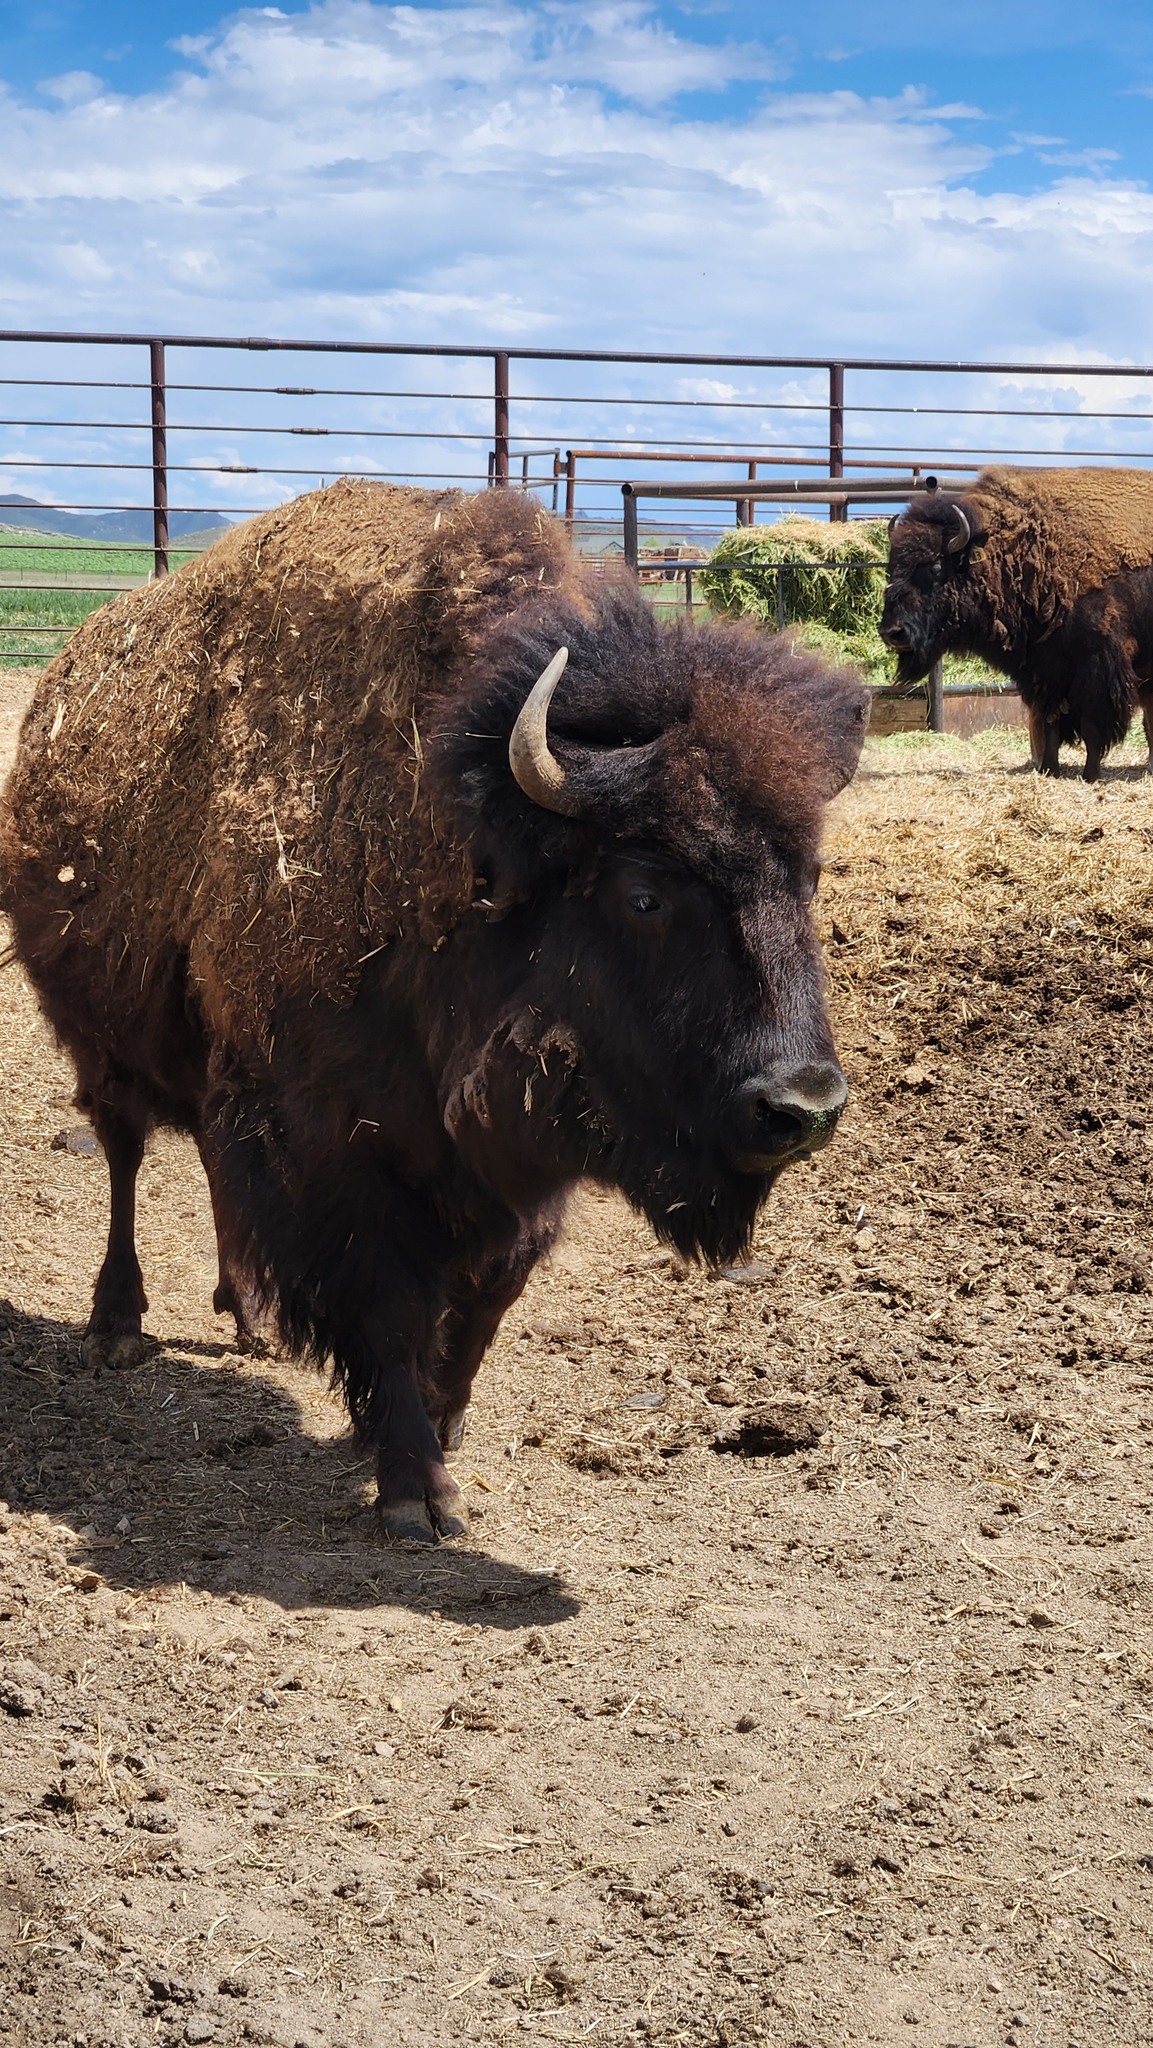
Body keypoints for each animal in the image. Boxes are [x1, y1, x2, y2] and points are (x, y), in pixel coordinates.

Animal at [1, 481, 865, 1542]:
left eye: (808, 876)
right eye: (644, 892)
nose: (803, 1108)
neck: (475, 870)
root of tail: (60, 693)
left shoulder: (515, 1169)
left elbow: (485, 1300)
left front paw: (443, 1431)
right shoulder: (340, 1152)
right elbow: (388, 1308)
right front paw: (417, 1491)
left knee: (203, 1157)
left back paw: (246, 1317)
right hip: (102, 1039)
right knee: (124, 1153)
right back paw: (118, 1326)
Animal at [880, 465, 1153, 779]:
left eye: (935, 567)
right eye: (892, 566)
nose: (893, 633)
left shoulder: (1098, 665)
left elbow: (1091, 727)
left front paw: (1090, 774)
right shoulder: (1045, 670)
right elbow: (1050, 723)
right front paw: (1048, 769)